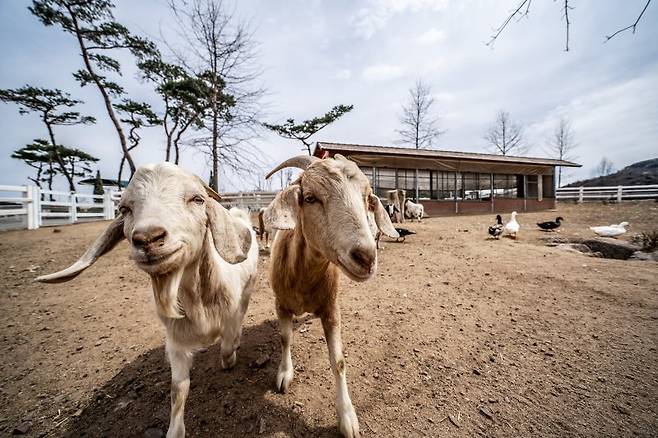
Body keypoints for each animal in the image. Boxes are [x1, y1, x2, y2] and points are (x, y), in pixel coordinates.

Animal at [35, 163, 256, 436]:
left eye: (197, 199)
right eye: (124, 209)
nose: (148, 238)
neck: (199, 304)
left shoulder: (231, 318)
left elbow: (226, 347)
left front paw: (230, 358)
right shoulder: (175, 341)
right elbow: (178, 388)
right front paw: (174, 430)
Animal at [260, 155, 394, 438]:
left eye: (368, 199)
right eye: (310, 198)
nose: (366, 257)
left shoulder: (332, 310)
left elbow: (339, 361)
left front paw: (347, 417)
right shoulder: (280, 305)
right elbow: (285, 339)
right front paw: (284, 374)